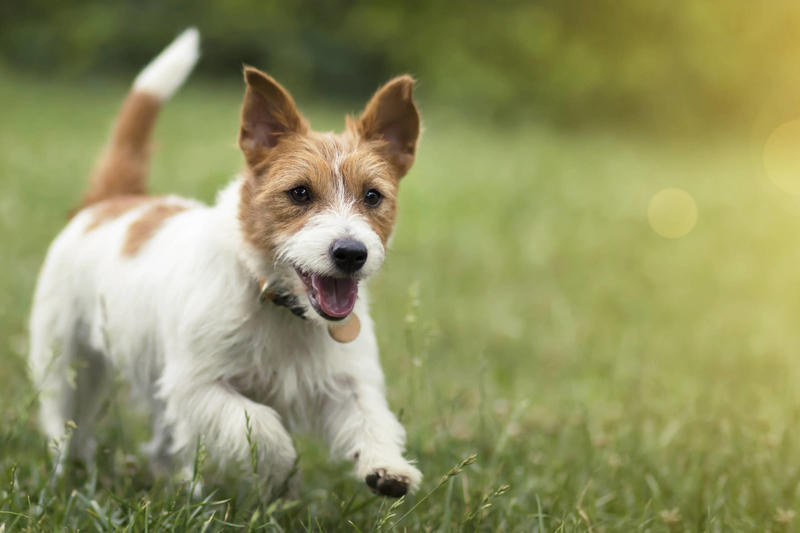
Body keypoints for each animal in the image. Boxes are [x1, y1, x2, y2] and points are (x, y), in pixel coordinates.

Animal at [28, 27, 422, 496]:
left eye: (372, 196)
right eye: (299, 193)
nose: (350, 253)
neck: (275, 299)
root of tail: (111, 199)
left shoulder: (345, 382)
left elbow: (371, 418)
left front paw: (387, 466)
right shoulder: (199, 385)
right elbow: (262, 426)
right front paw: (280, 470)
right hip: (68, 357)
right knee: (65, 415)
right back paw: (68, 470)